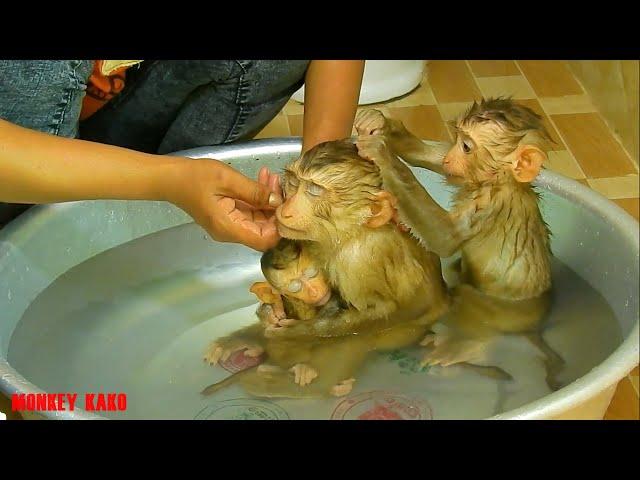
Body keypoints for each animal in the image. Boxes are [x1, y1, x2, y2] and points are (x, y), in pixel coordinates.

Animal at [356, 98, 564, 390]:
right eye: (457, 142)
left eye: (467, 147)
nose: (452, 157)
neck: (500, 181)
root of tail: (535, 325)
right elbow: (433, 157)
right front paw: (379, 120)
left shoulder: (487, 206)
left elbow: (445, 238)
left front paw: (381, 152)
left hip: (505, 313)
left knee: (467, 299)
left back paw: (469, 347)